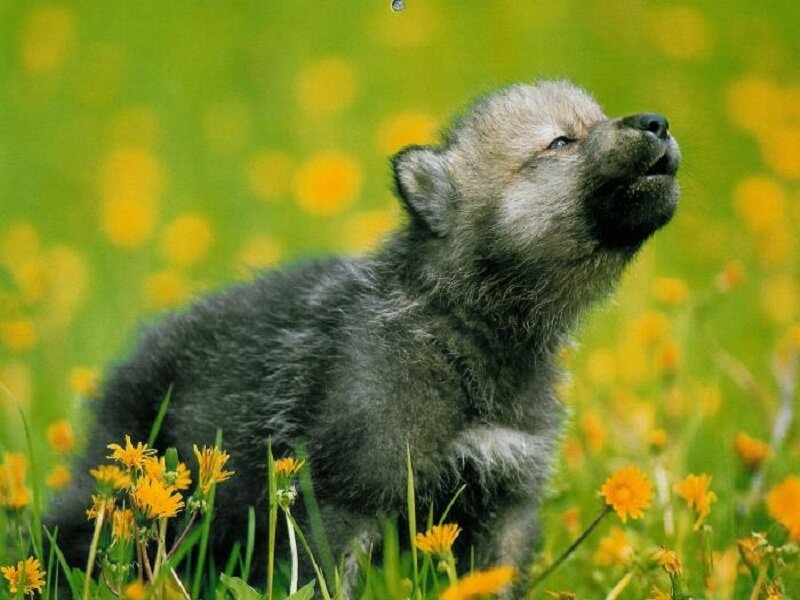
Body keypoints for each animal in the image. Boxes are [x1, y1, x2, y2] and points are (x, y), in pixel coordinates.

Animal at [49, 80, 680, 595]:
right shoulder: (347, 498)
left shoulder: (506, 504)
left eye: (597, 119)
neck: (464, 336)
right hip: (122, 487)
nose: (657, 121)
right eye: (560, 142)